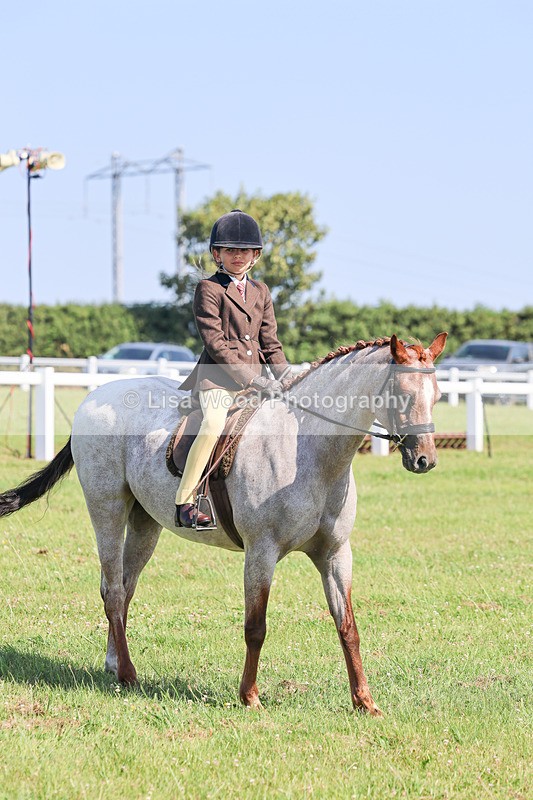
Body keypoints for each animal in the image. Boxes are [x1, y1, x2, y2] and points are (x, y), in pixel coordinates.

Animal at [0, 332, 447, 715]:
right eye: (404, 395)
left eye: (438, 396)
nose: (425, 460)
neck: (307, 450)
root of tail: (94, 397)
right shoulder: (261, 552)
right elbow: (256, 626)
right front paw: (249, 696)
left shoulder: (336, 554)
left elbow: (347, 626)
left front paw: (365, 702)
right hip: (106, 509)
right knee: (112, 590)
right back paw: (127, 674)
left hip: (145, 524)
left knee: (124, 590)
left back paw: (114, 664)